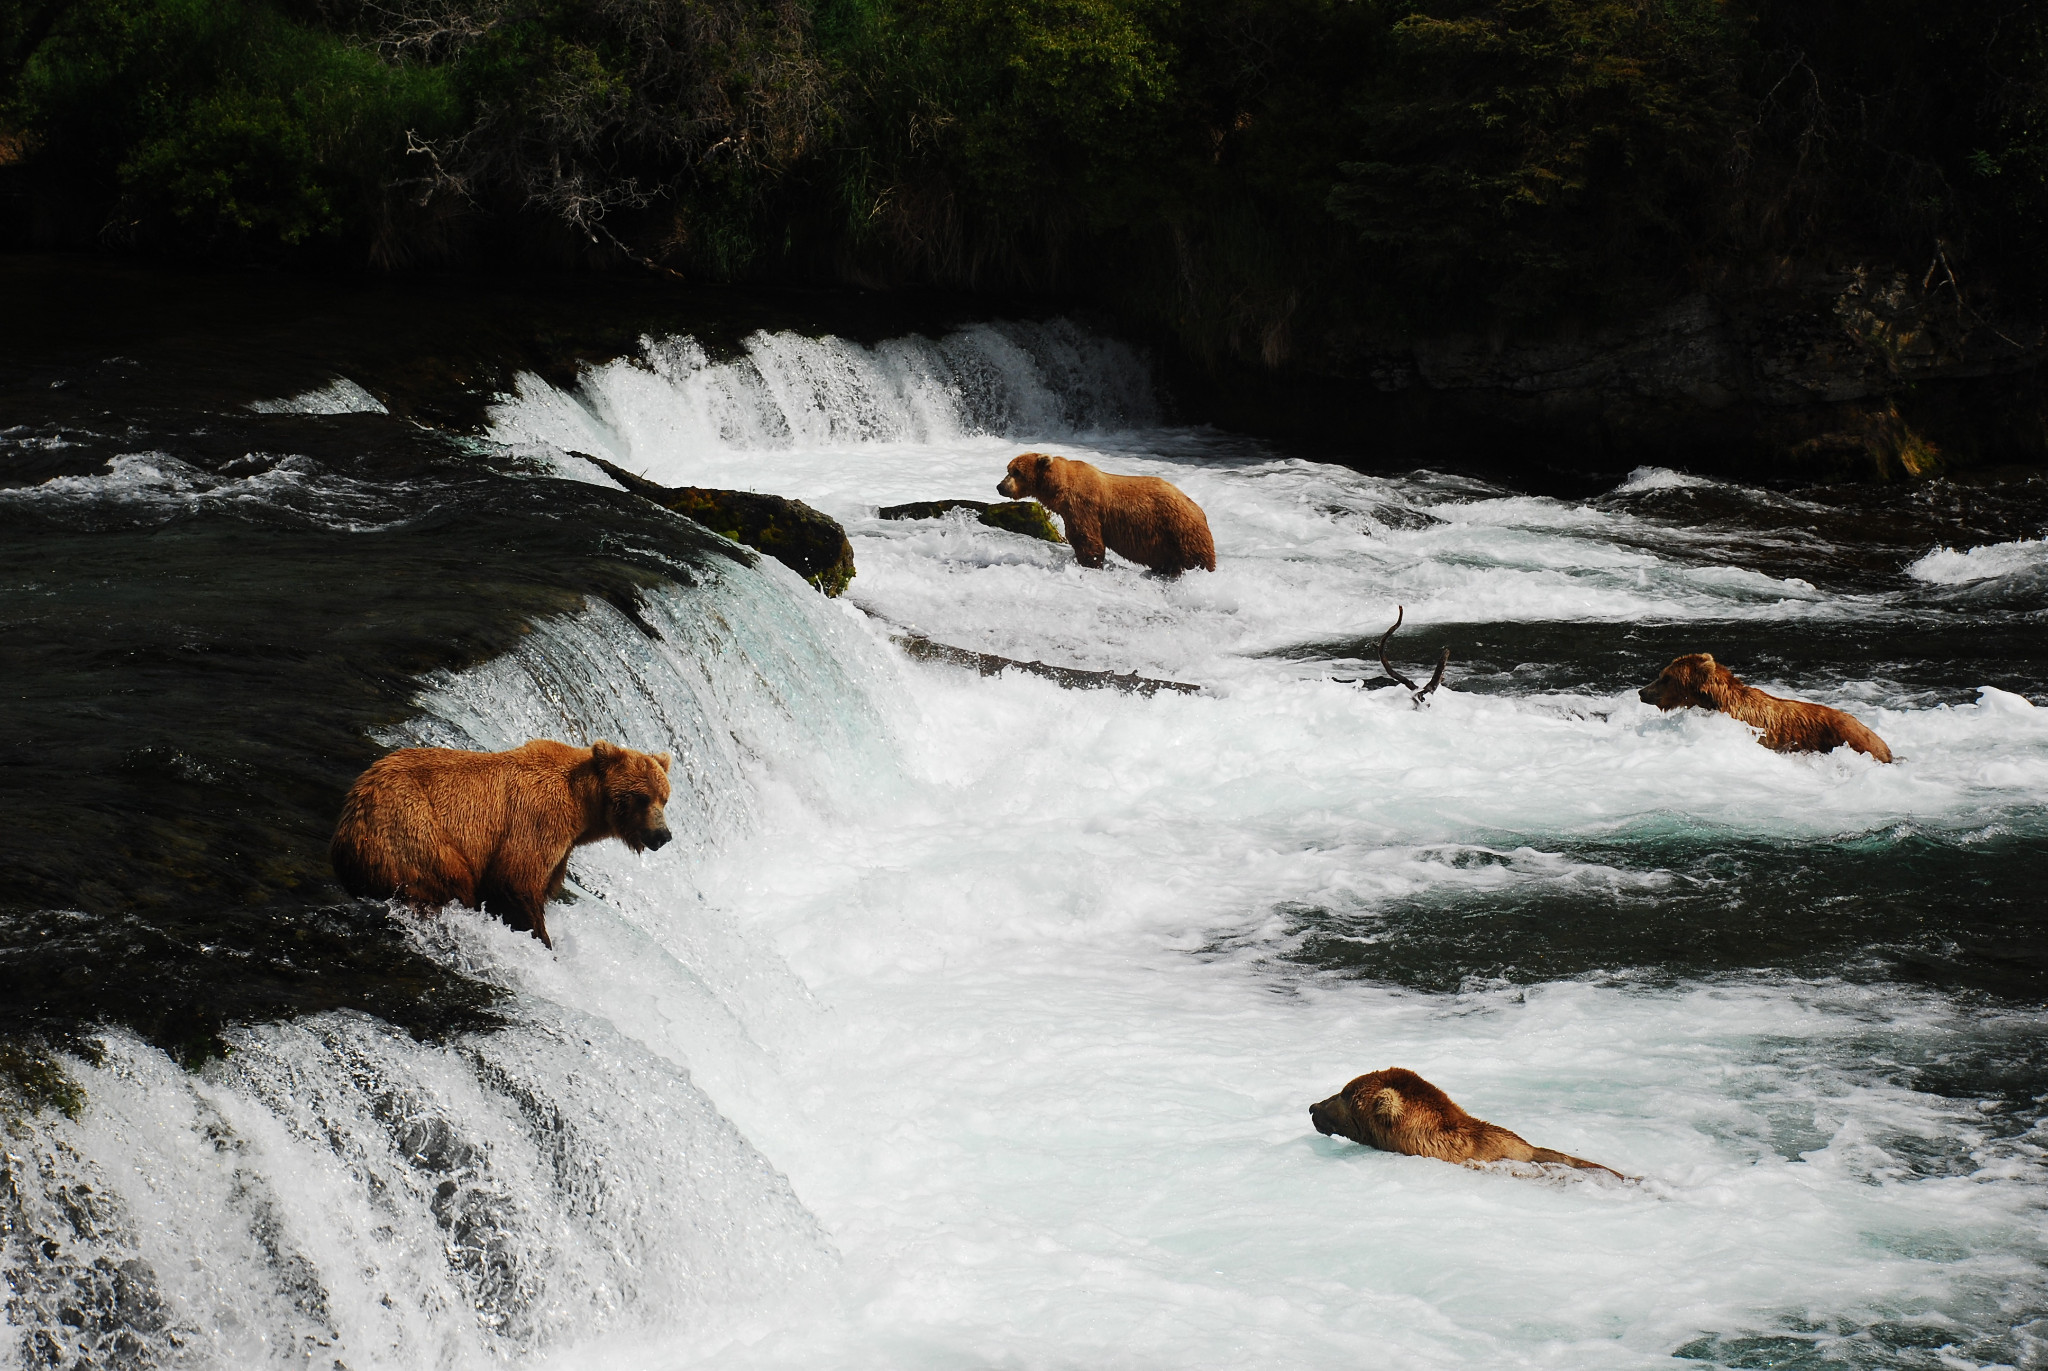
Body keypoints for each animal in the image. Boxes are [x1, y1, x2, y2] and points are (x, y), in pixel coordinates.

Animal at [329, 737, 671, 950]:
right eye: (642, 797)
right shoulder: (538, 820)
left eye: (664, 798)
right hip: (416, 831)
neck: (582, 807)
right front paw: (543, 941)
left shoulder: (562, 847)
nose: (663, 835)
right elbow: (514, 879)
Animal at [995, 450, 1212, 573]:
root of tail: (1198, 509)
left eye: (1017, 472)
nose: (1000, 486)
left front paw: (1090, 563)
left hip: (1180, 529)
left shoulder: (1083, 507)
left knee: (1198, 558)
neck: (1060, 487)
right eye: (1008, 469)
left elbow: (1088, 539)